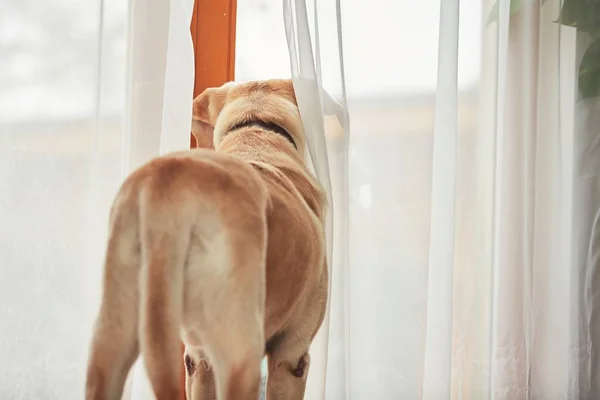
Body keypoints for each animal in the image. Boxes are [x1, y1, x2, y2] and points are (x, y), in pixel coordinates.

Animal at [85, 79, 328, 400]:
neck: (256, 133)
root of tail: (170, 188)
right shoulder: (292, 353)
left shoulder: (198, 360)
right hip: (240, 353)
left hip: (111, 338)